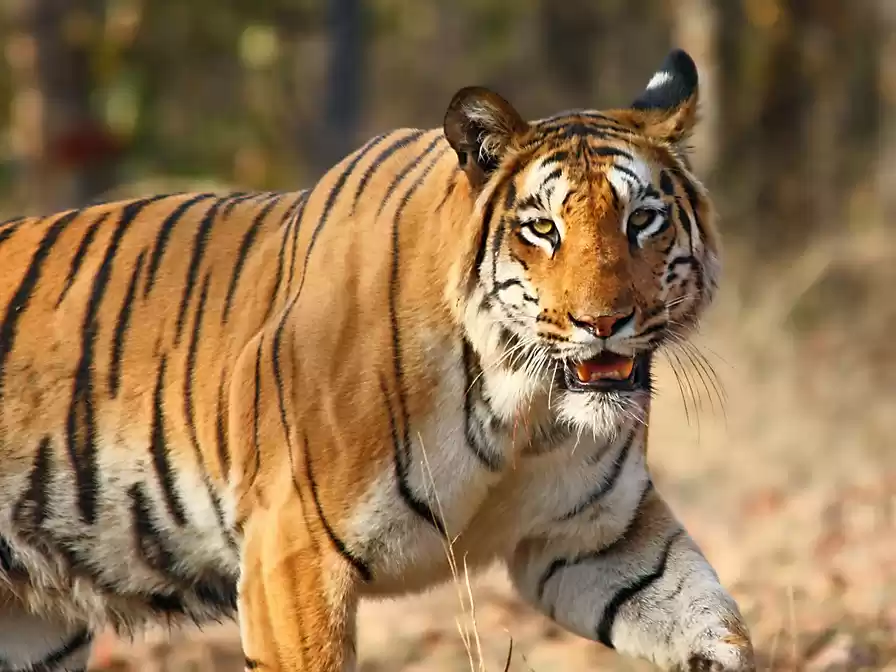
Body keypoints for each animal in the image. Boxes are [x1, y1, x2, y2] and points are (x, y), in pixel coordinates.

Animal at [0, 48, 754, 671]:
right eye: (543, 228)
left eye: (643, 220)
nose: (602, 323)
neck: (524, 410)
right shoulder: (290, 555)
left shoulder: (596, 540)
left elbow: (712, 620)